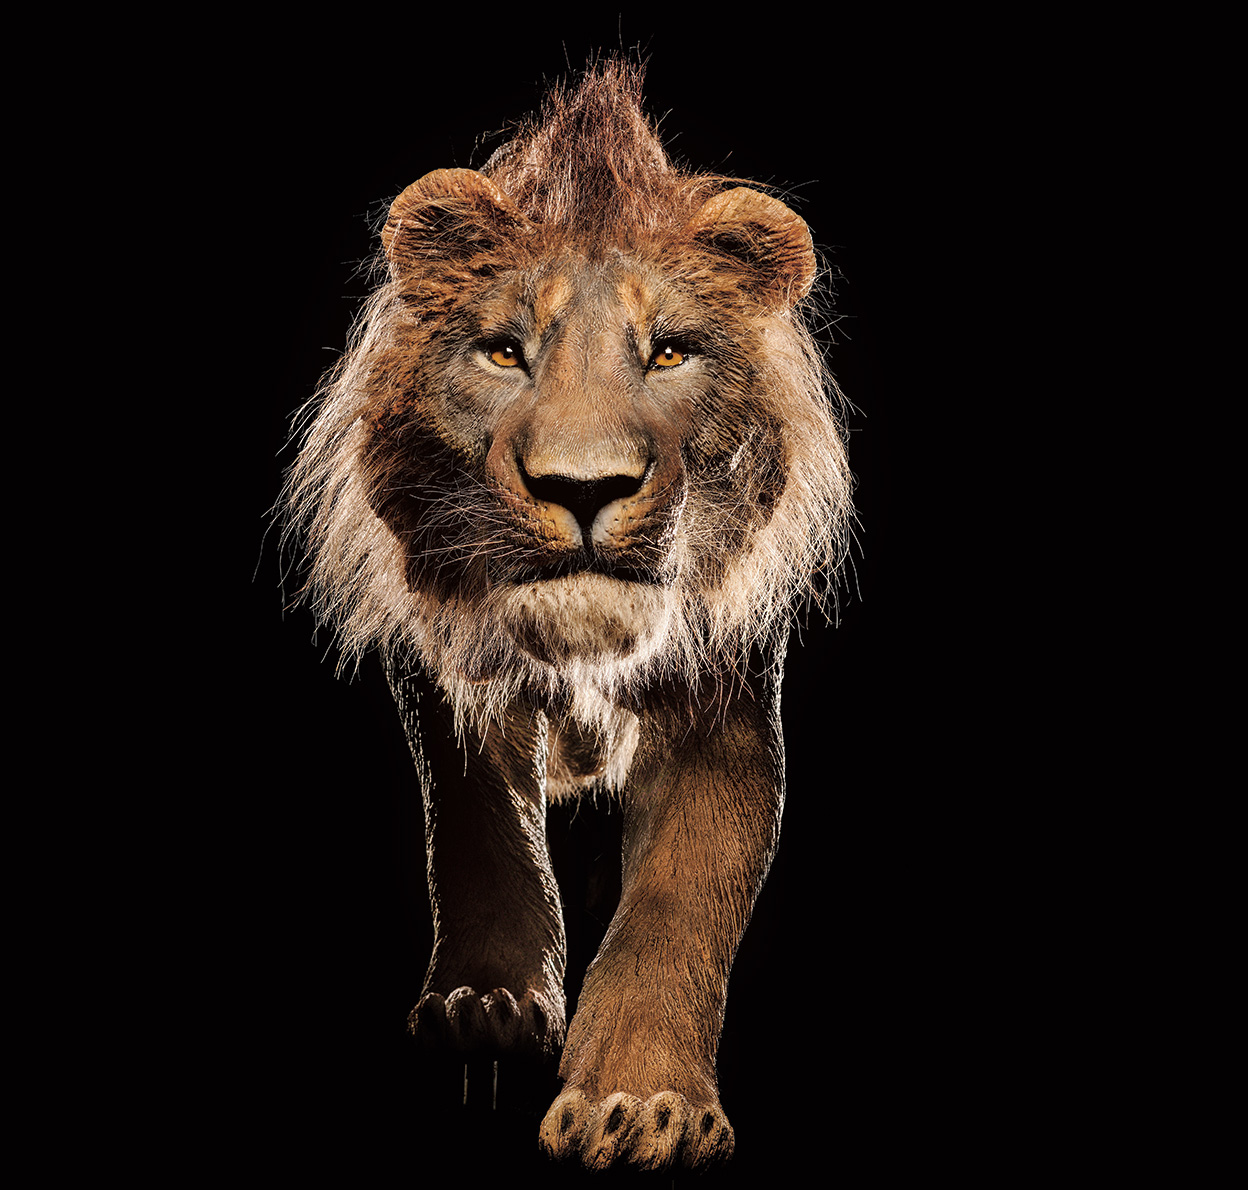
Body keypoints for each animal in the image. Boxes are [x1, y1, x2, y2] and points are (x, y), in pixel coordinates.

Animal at [282, 61, 852, 1171]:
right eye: (506, 352)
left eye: (670, 353)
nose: (582, 487)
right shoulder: (447, 664)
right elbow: (481, 826)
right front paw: (488, 1006)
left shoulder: (726, 691)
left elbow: (681, 896)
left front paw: (640, 1102)